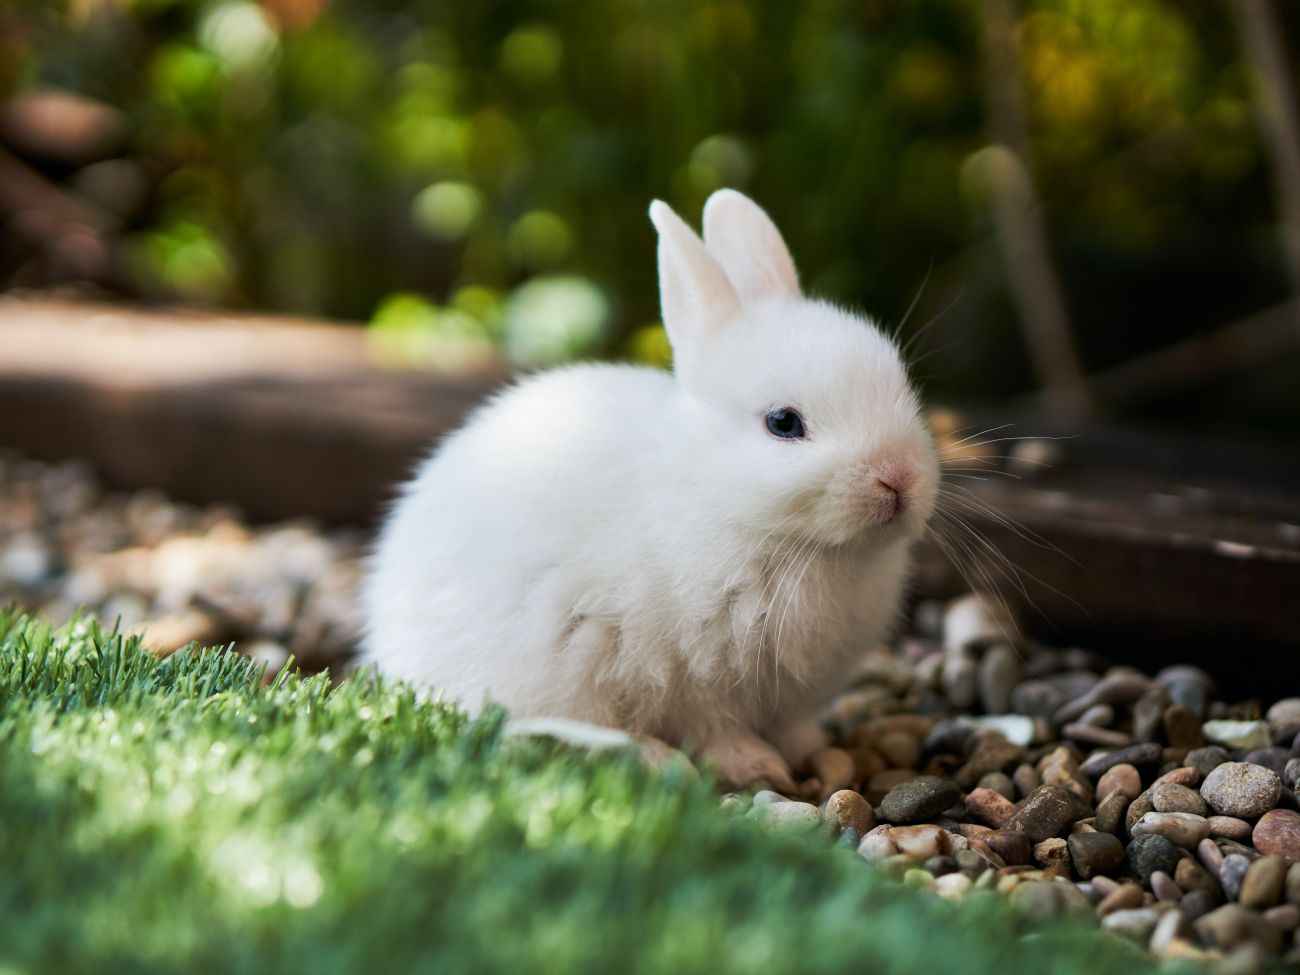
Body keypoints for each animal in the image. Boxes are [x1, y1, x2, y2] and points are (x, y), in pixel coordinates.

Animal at [361, 191, 941, 795]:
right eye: (783, 423)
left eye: (902, 387)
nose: (899, 476)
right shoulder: (688, 678)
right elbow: (713, 728)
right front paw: (756, 767)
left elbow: (795, 727)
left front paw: (817, 753)